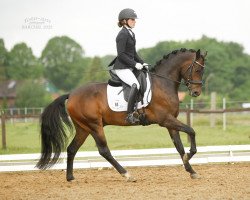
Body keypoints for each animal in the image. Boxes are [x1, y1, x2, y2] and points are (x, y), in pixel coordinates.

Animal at [35, 48, 207, 181]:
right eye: (197, 70)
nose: (196, 92)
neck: (163, 84)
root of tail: (71, 94)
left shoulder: (171, 122)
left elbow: (179, 146)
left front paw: (191, 170)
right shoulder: (165, 120)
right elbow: (191, 131)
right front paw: (190, 156)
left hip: (83, 128)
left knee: (71, 149)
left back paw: (70, 177)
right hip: (95, 126)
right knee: (104, 151)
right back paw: (127, 174)